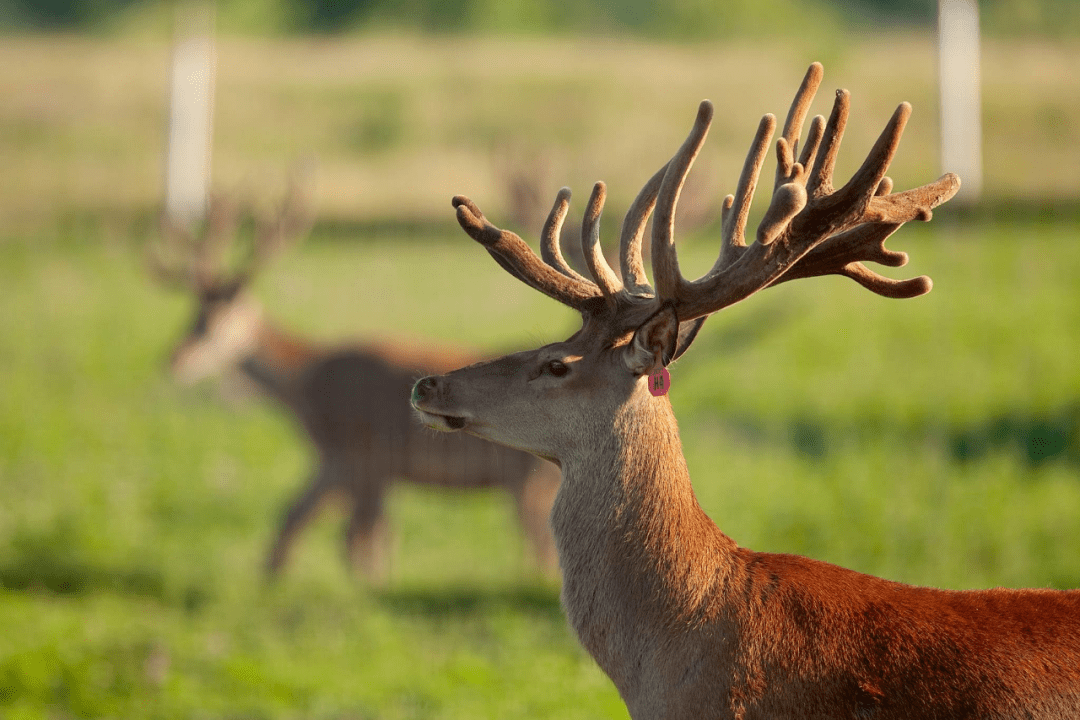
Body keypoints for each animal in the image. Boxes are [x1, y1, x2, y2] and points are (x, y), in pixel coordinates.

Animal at [149, 179, 561, 578]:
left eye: (212, 322)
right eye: (191, 316)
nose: (173, 359)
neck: (304, 387)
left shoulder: (363, 455)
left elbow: (360, 538)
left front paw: (369, 587)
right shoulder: (336, 460)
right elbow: (304, 517)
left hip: (527, 478)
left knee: (540, 544)